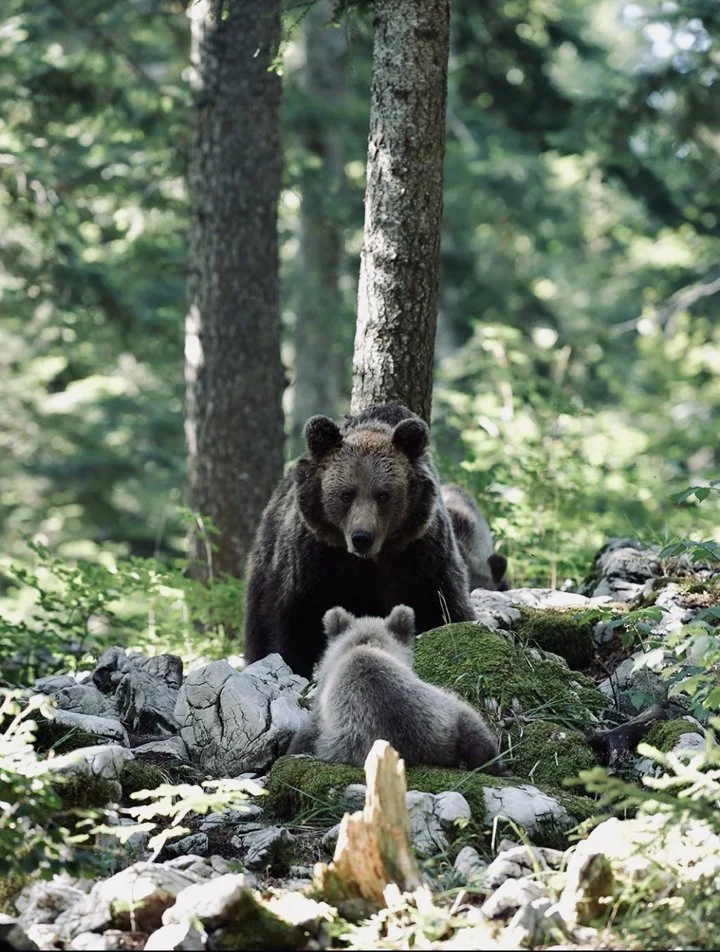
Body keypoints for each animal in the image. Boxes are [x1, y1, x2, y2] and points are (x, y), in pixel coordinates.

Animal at [243, 404, 476, 679]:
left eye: (383, 495)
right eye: (347, 494)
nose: (362, 537)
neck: (369, 562)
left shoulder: (421, 555)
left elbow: (443, 607)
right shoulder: (313, 559)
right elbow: (292, 622)